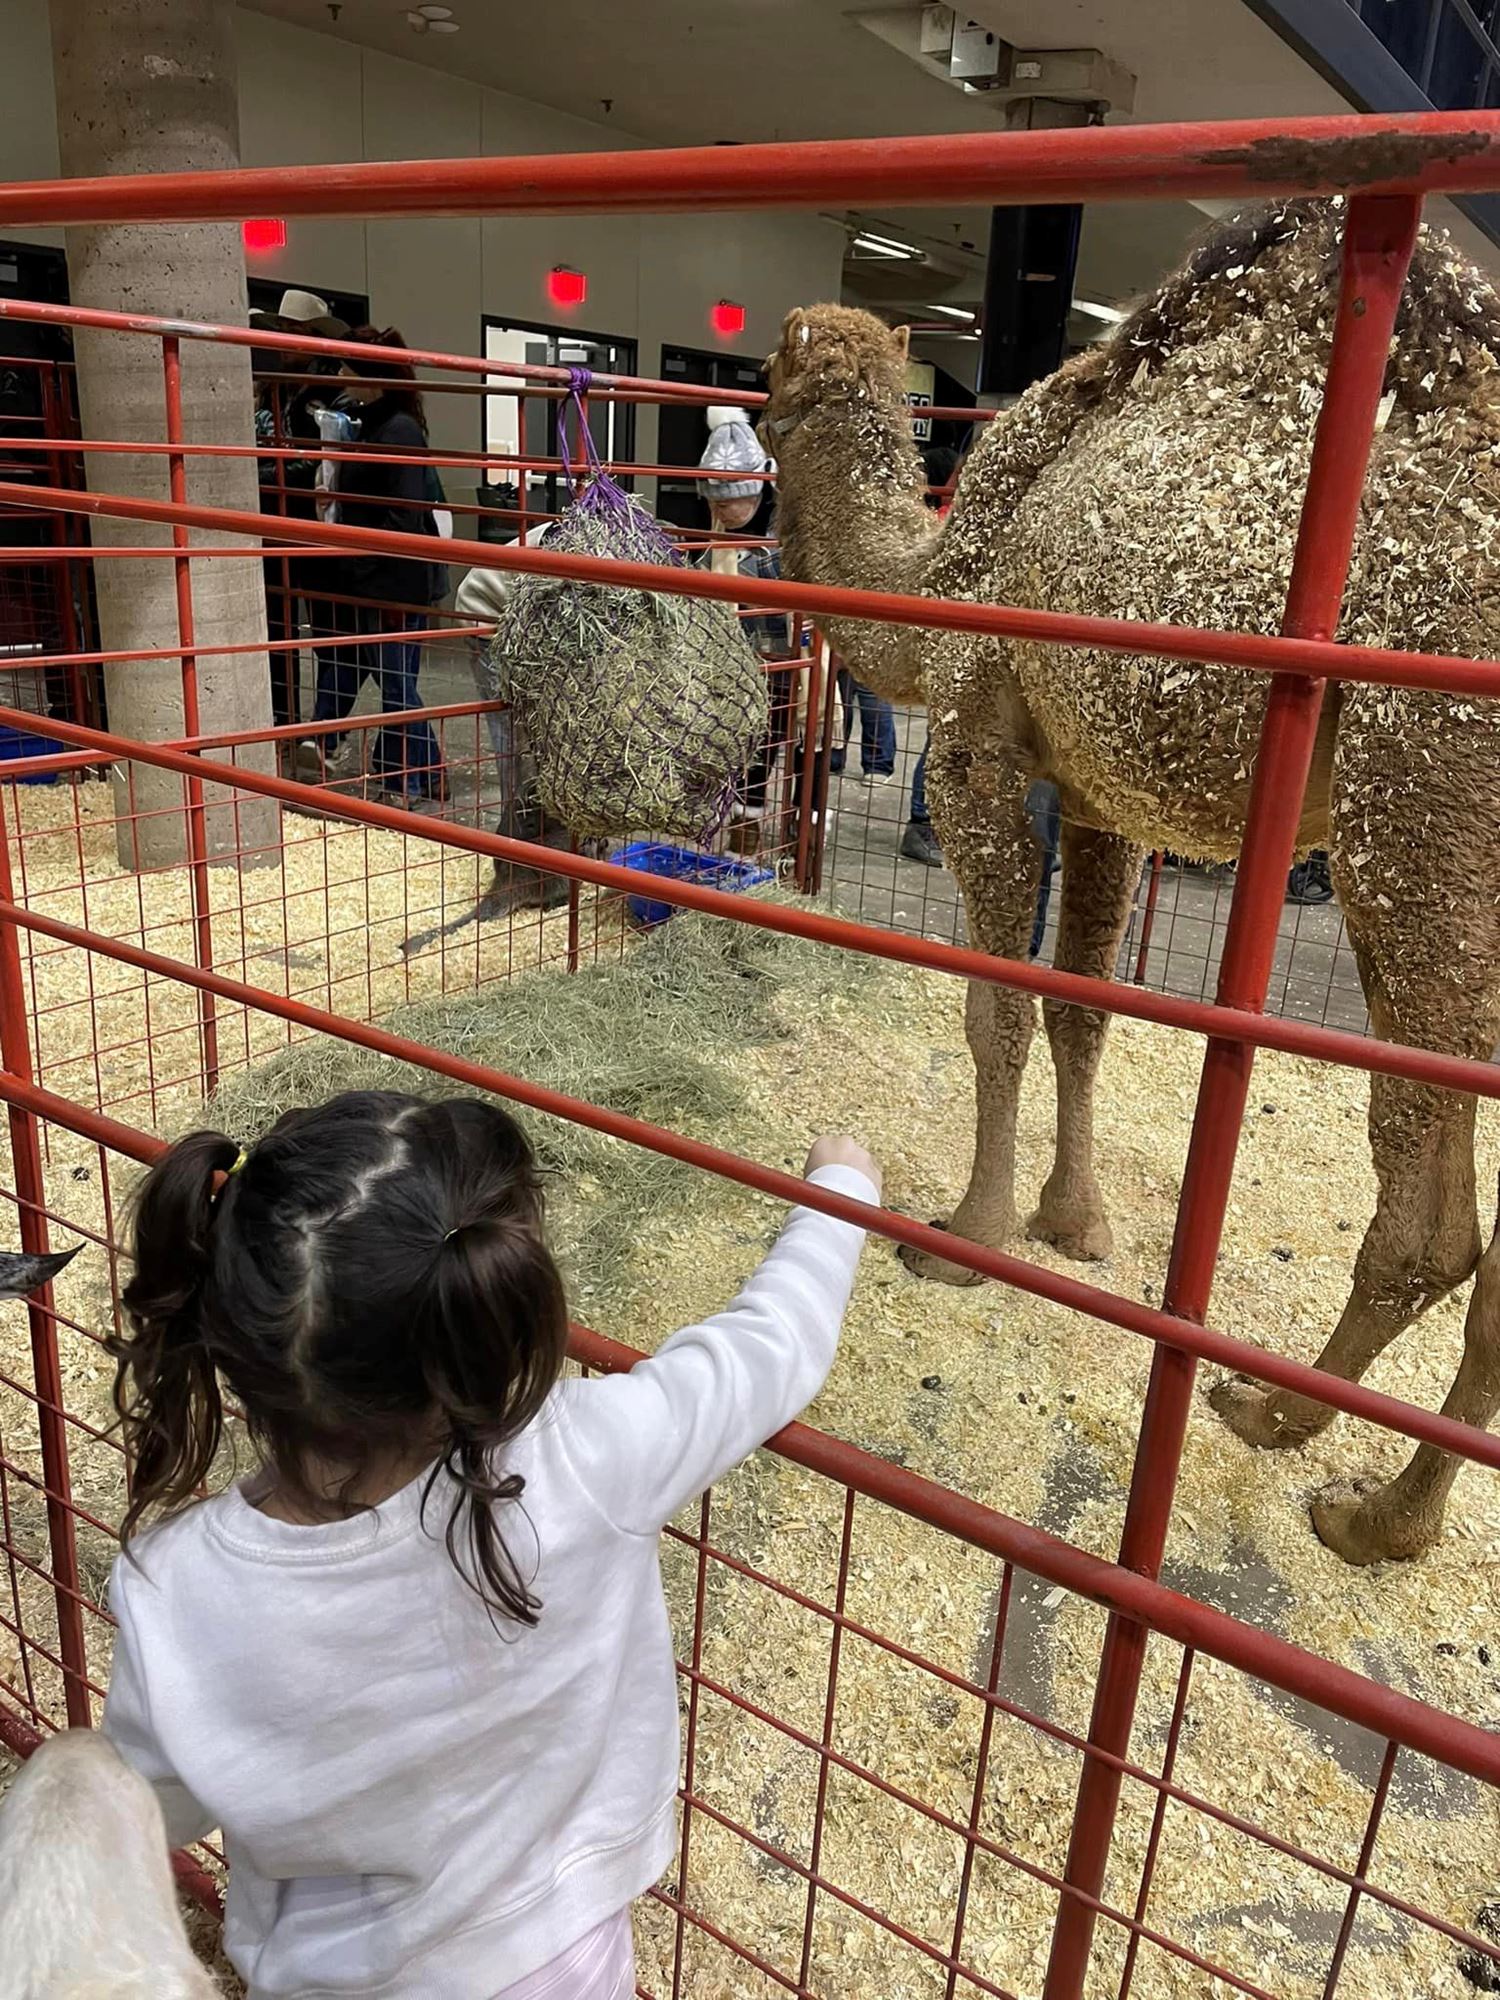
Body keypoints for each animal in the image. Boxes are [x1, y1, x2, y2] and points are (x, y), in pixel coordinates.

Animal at [768, 207, 1500, 1576]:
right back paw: (1349, 1467)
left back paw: (1335, 1473)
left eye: (782, 363)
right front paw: (1077, 1220)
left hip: (1423, 815)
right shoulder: (1098, 790)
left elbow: (996, 1010)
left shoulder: (980, 749)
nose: (753, 415)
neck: (943, 568)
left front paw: (972, 1234)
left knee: (1436, 1218)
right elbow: (1082, 1008)